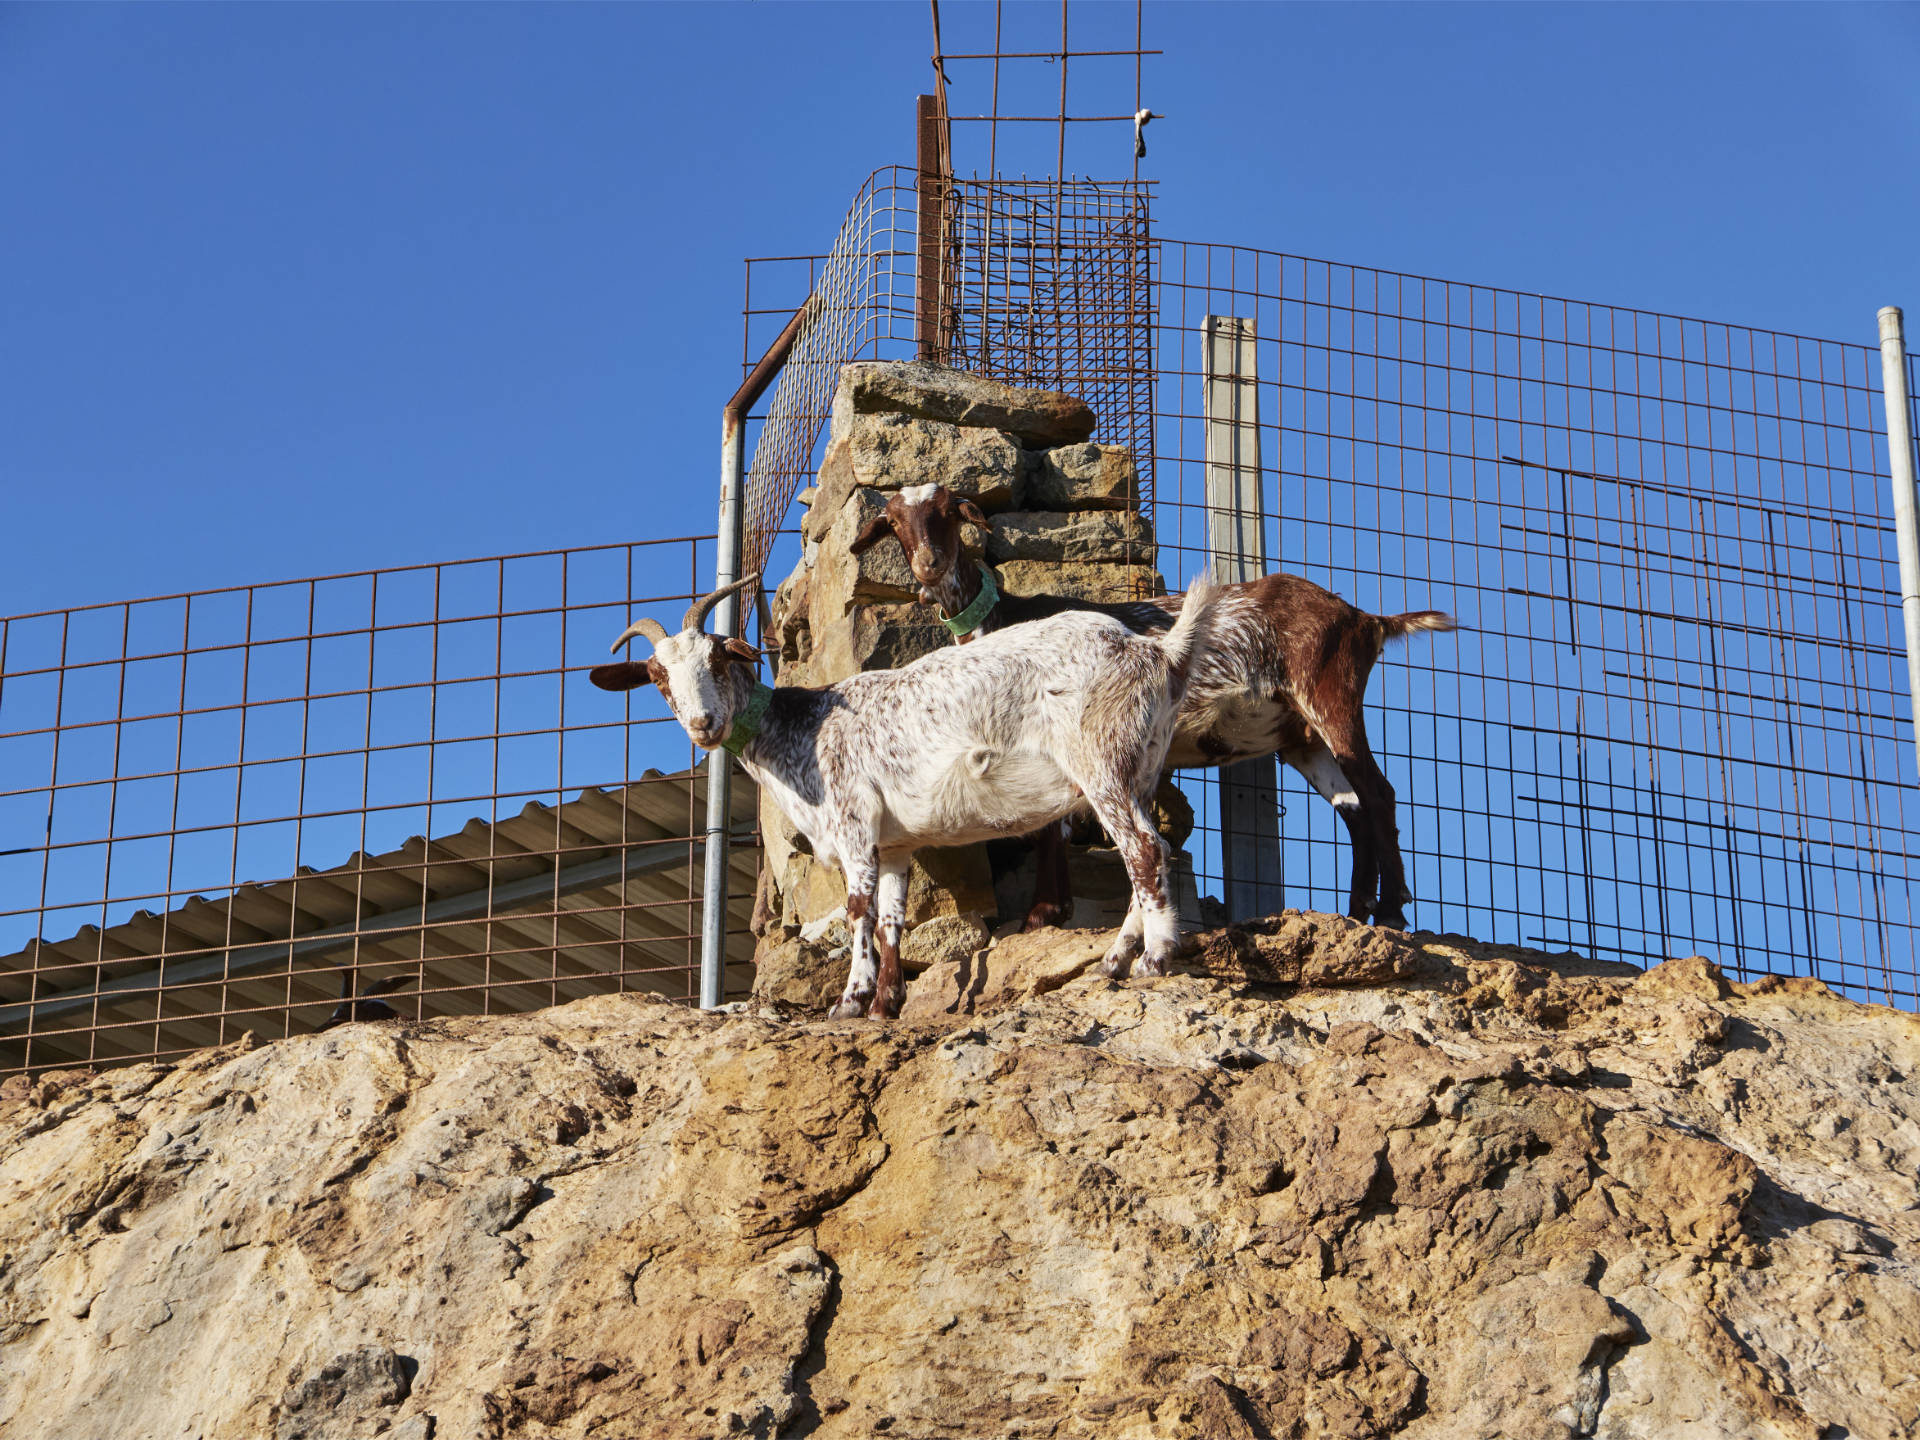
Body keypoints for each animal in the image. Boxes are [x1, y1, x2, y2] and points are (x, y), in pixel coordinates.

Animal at [587, 572, 1213, 1013]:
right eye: (657, 677)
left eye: (718, 657)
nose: (703, 726)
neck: (801, 728)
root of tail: (1159, 652)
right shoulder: (894, 845)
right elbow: (891, 917)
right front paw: (885, 1001)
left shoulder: (853, 821)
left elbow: (855, 909)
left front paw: (849, 1000)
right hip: (1140, 767)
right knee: (1146, 853)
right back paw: (1115, 959)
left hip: (1102, 759)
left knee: (1145, 851)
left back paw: (1155, 958)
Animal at [856, 487, 1451, 936]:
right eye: (894, 522)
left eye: (947, 513)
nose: (929, 565)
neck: (1001, 620)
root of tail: (1364, 619)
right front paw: (1056, 908)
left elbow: (1052, 827)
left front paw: (1044, 913)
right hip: (1301, 735)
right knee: (1353, 807)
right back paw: (1358, 910)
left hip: (1328, 691)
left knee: (1378, 792)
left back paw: (1392, 910)